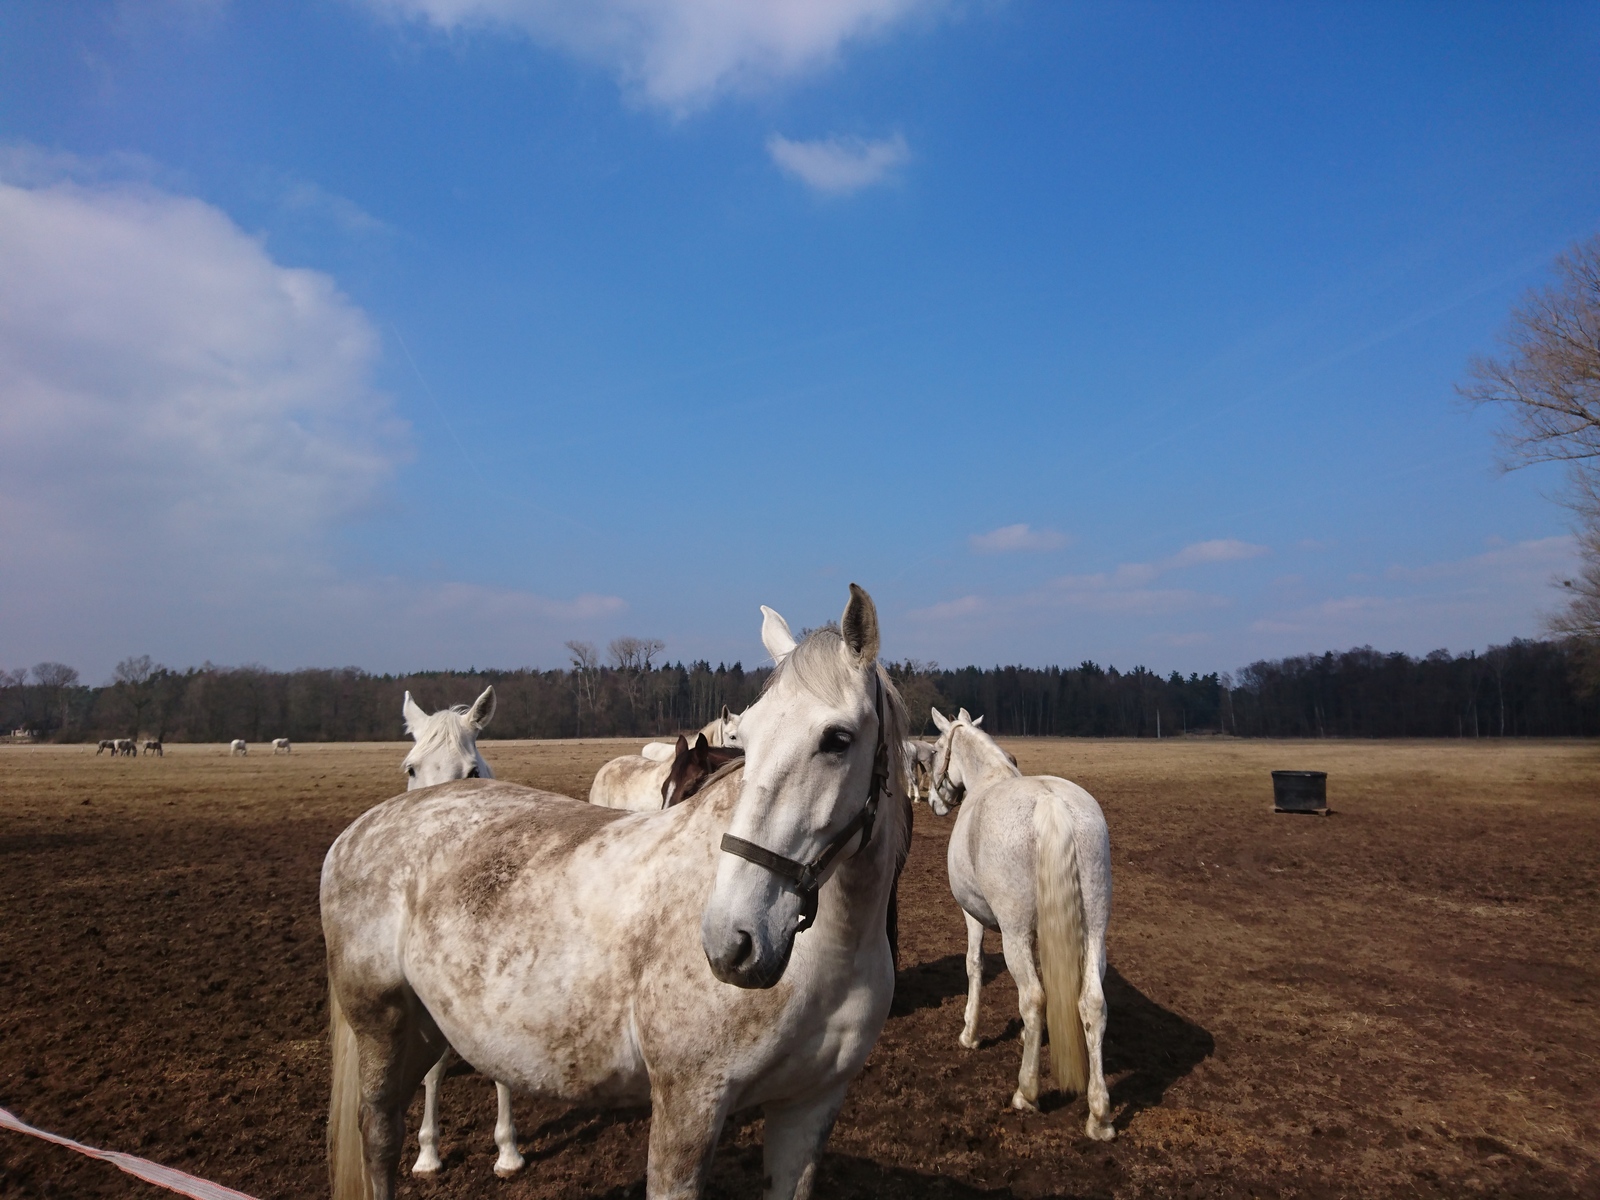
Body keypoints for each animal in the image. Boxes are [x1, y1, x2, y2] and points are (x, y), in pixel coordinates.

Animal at [928, 710, 1113, 1139]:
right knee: (1092, 1003)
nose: (932, 801)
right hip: (1094, 933)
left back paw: (1026, 1093)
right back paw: (1099, 1116)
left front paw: (970, 1034)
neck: (988, 777)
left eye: (935, 750)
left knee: (1033, 998)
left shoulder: (974, 917)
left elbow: (974, 966)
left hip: (1013, 934)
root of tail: (1051, 802)